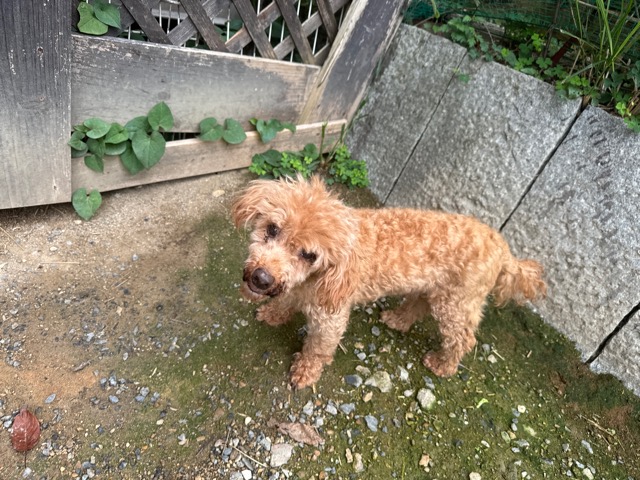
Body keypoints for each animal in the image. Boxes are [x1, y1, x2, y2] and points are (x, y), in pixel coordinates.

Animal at [232, 175, 546, 389]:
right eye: (272, 229)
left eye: (309, 255)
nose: (261, 278)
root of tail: (505, 250)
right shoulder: (297, 288)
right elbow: (286, 300)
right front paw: (273, 314)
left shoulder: (330, 316)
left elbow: (318, 348)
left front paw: (305, 373)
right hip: (434, 289)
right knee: (418, 305)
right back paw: (397, 320)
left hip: (456, 303)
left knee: (463, 338)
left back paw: (442, 365)